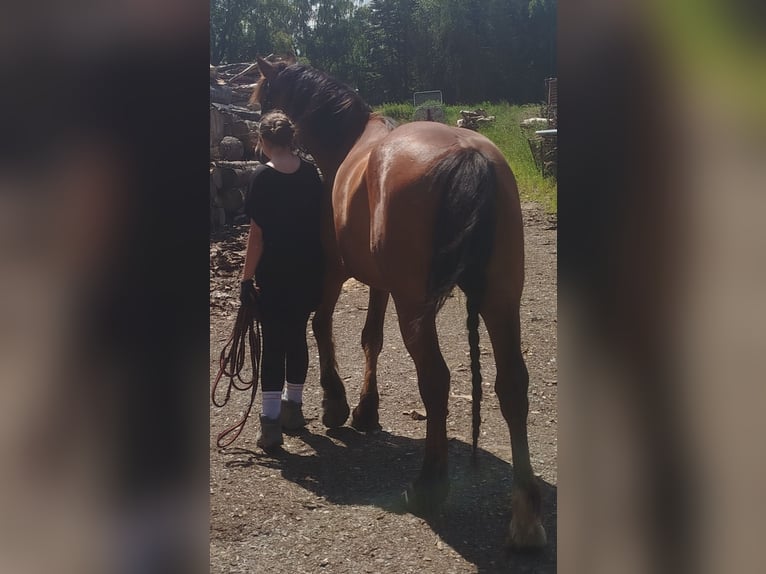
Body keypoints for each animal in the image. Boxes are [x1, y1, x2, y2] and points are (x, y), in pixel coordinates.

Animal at [252, 57, 544, 548]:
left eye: (260, 99)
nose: (257, 150)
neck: (347, 141)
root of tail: (469, 155)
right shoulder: (379, 285)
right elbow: (371, 338)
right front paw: (366, 410)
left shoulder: (335, 272)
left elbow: (321, 325)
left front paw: (336, 404)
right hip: (501, 300)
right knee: (512, 386)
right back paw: (525, 518)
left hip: (417, 308)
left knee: (436, 379)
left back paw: (428, 484)